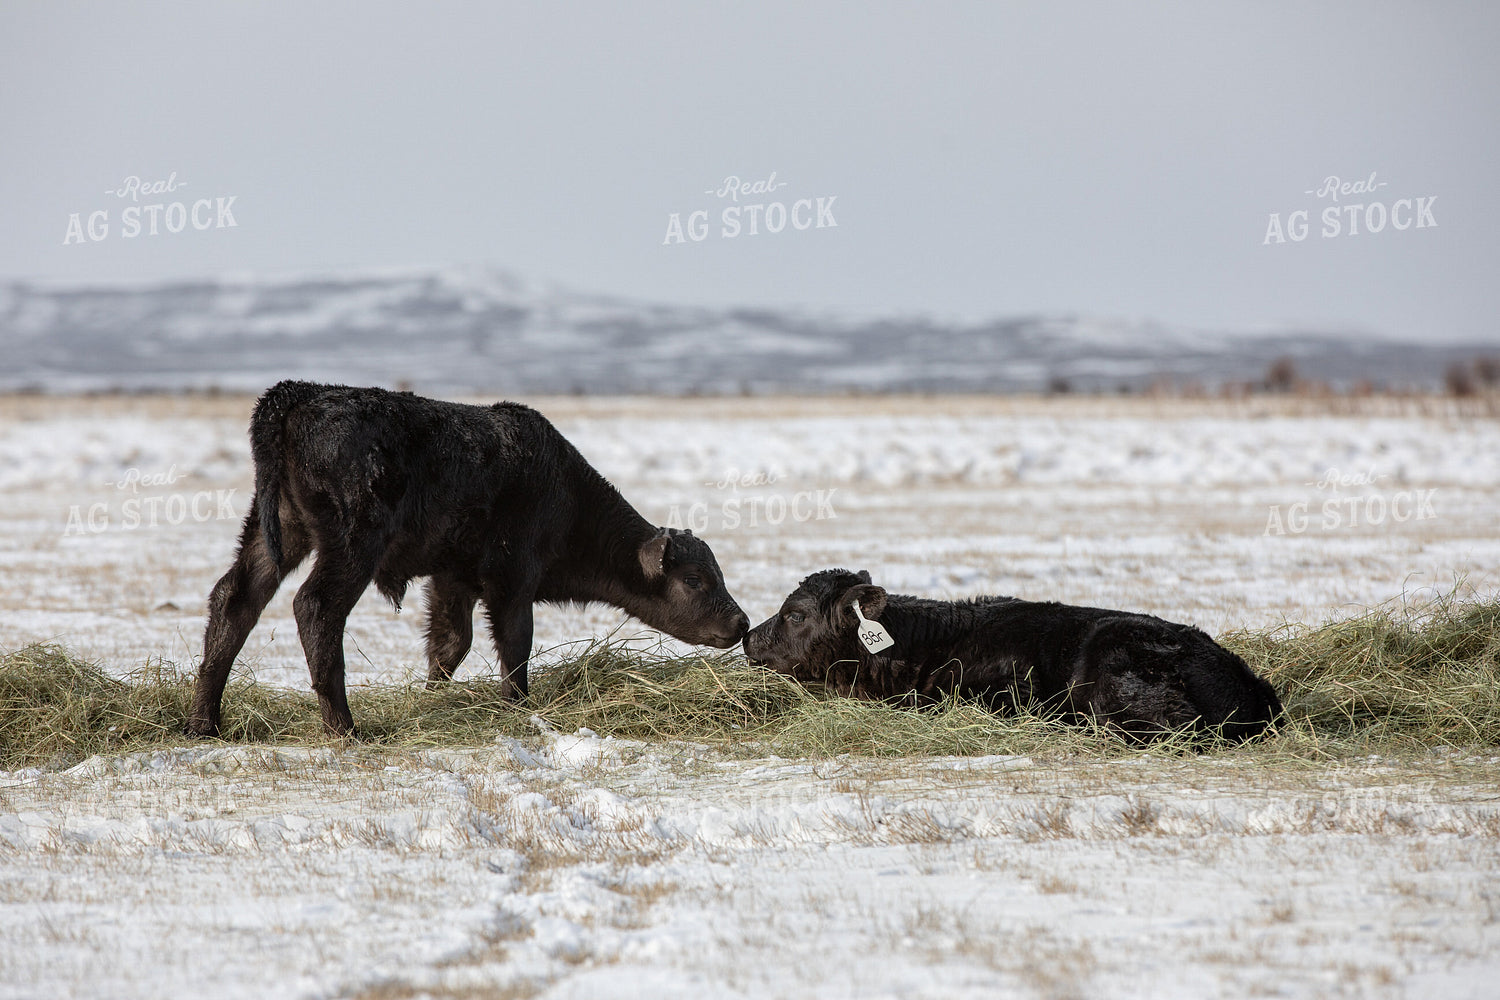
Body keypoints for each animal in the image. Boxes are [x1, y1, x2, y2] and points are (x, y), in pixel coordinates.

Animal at [187, 381, 749, 737]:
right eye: (695, 580)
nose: (740, 623)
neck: (563, 489)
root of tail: (296, 396)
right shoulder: (511, 583)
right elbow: (514, 647)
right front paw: (520, 707)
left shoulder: (450, 580)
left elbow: (448, 647)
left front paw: (434, 698)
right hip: (350, 547)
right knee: (316, 607)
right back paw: (345, 729)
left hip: (276, 533)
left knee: (235, 599)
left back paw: (204, 725)